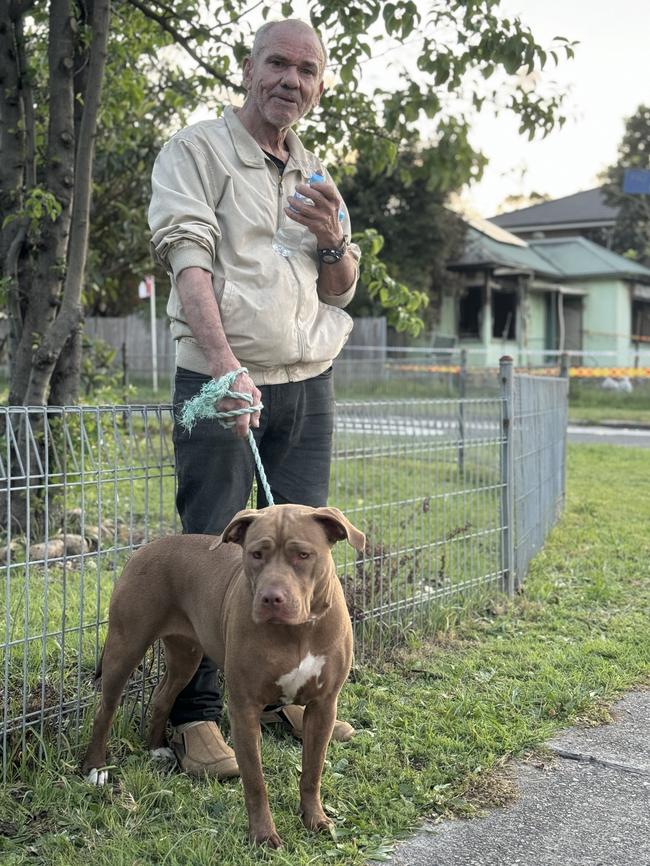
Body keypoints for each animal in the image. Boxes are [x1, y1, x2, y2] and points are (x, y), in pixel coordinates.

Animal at [81, 502, 364, 848]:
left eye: (303, 555)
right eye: (256, 554)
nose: (272, 598)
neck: (296, 632)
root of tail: (146, 547)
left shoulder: (323, 707)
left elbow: (312, 771)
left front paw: (315, 819)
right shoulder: (244, 709)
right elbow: (255, 780)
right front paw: (263, 836)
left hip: (185, 655)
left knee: (163, 695)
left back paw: (156, 747)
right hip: (126, 647)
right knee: (105, 710)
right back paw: (96, 767)